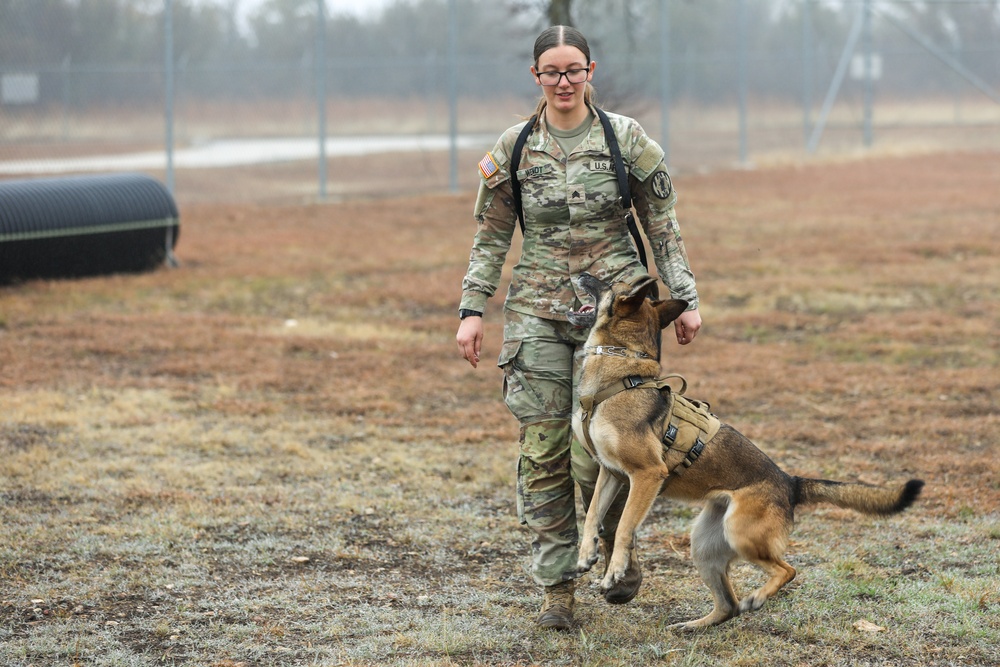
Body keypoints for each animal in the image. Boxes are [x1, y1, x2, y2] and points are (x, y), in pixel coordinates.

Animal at [568, 272, 924, 632]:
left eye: (606, 282)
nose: (580, 273)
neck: (621, 375)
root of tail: (790, 483)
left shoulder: (647, 475)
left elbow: (625, 526)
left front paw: (613, 572)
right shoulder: (611, 473)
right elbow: (593, 514)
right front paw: (585, 555)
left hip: (741, 536)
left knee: (787, 570)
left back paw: (758, 597)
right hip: (705, 545)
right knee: (728, 605)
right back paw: (694, 625)